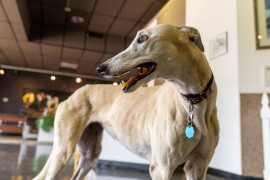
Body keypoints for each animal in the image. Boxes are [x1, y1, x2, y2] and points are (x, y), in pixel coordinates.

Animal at [33, 24, 219, 180]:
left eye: (142, 38)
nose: (100, 68)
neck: (193, 102)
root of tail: (74, 94)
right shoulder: (162, 168)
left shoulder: (197, 167)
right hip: (63, 150)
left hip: (89, 154)